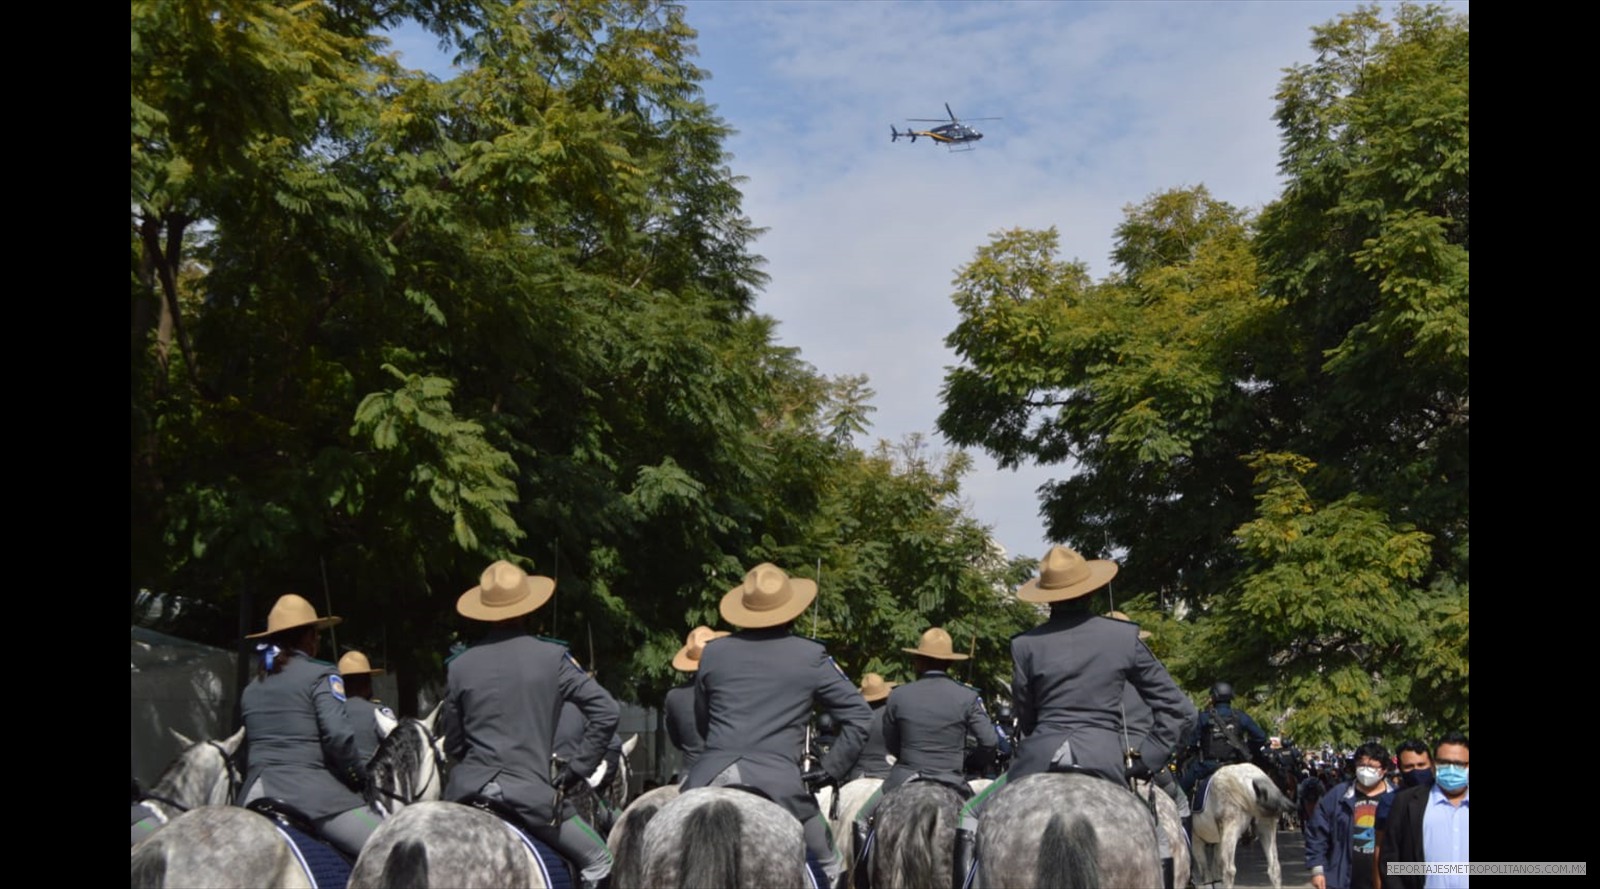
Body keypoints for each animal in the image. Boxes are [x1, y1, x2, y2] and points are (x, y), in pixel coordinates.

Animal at [1196, 757, 1292, 889]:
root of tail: (1252, 779)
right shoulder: (1216, 841)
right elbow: (1214, 872)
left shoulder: (1196, 840)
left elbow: (1207, 874)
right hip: (1266, 827)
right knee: (1274, 867)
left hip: (1231, 827)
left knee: (1228, 870)